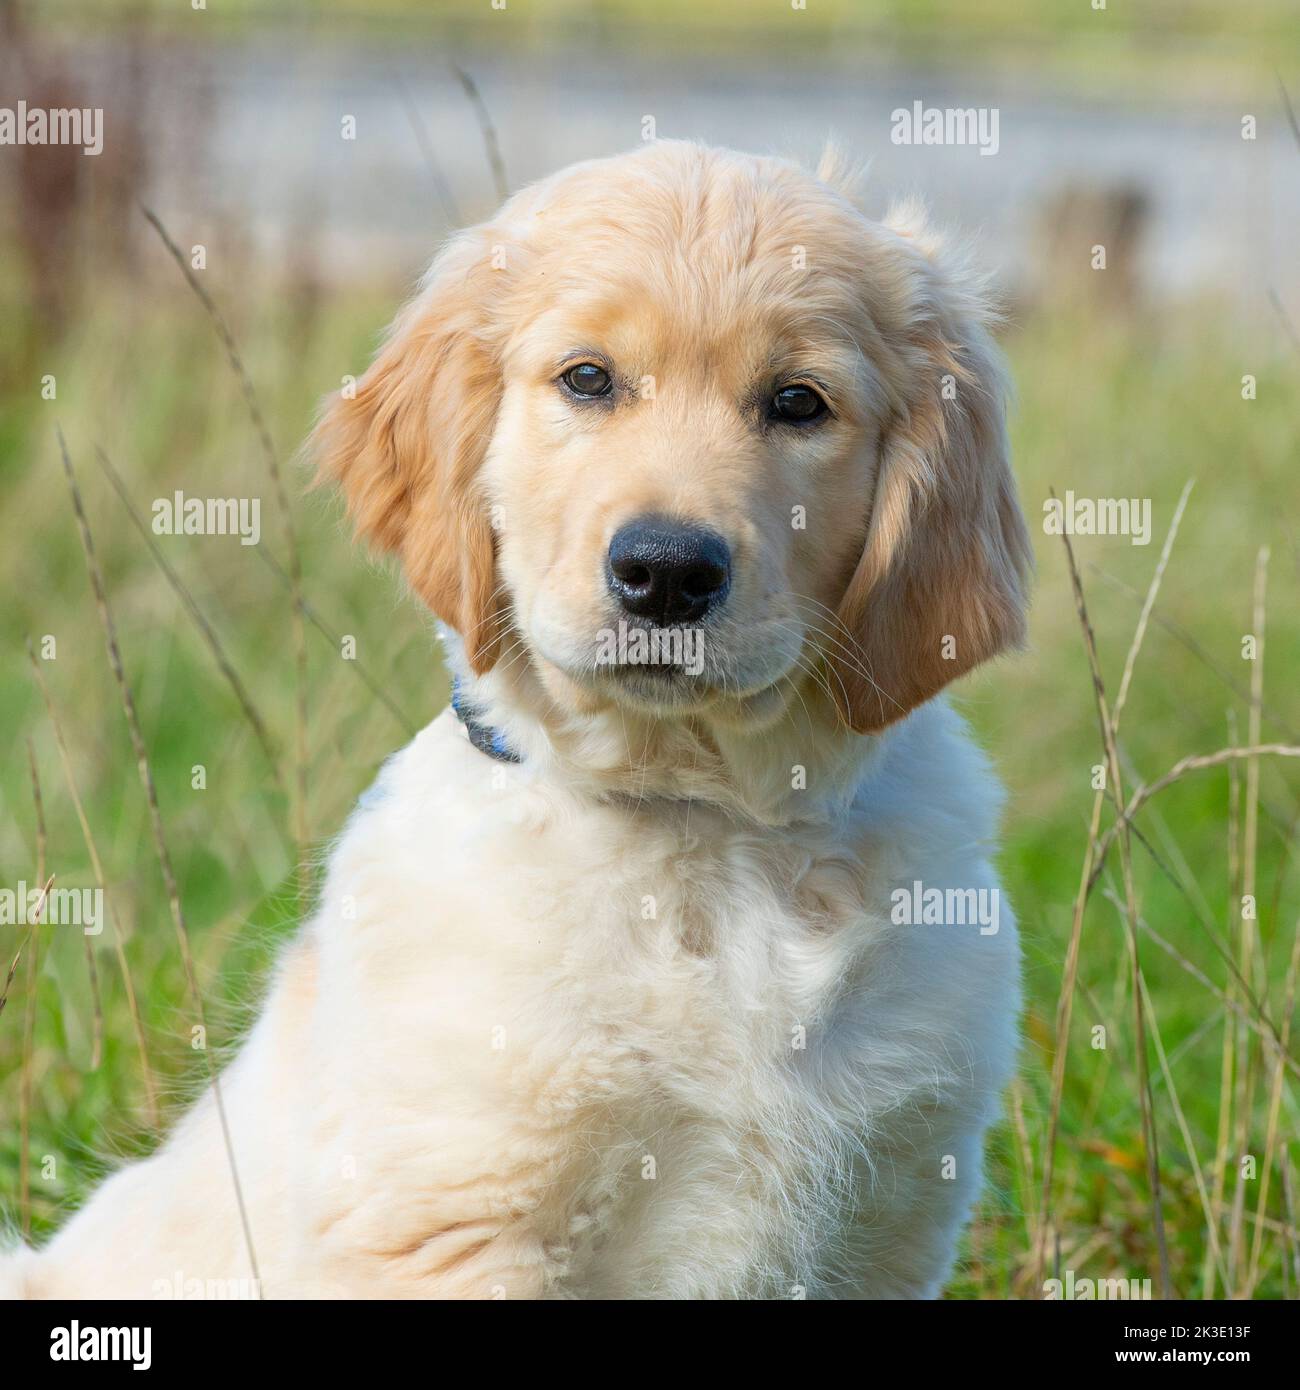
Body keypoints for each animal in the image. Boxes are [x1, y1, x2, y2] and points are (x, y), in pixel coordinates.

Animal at [5, 135, 1034, 1295]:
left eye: (798, 402)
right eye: (587, 379)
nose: (666, 571)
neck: (703, 829)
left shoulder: (888, 1213)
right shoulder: (457, 1212)